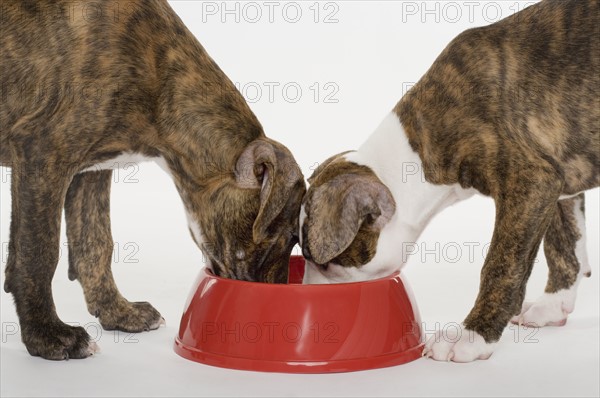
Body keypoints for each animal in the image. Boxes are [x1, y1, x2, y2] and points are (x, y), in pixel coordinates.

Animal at [1, 0, 304, 360]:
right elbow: (38, 251)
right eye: (283, 238)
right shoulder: (43, 153)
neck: (160, 80)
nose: (276, 296)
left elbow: (95, 243)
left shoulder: (91, 171)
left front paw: (118, 312)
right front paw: (47, 335)